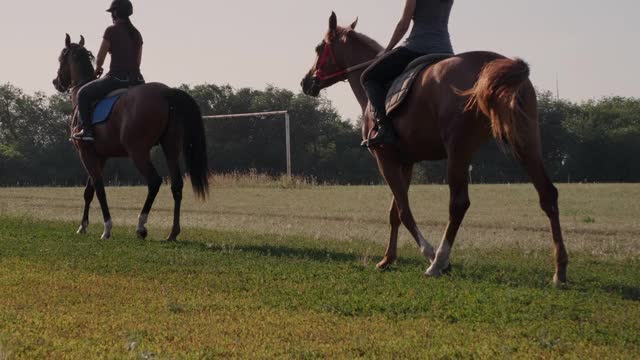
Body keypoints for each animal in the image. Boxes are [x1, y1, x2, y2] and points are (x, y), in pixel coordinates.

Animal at [53, 34, 210, 242]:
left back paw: (141, 226)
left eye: (61, 59)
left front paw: (106, 228)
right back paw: (173, 232)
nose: (56, 82)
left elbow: (99, 189)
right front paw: (82, 226)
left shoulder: (86, 154)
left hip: (138, 152)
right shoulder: (100, 156)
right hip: (171, 148)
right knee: (176, 185)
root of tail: (167, 92)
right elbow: (89, 191)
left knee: (154, 181)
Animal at [302, 13, 568, 284]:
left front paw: (429, 254)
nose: (306, 82)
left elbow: (405, 211)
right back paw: (560, 270)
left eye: (319, 48)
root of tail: (497, 62)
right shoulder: (405, 162)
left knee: (458, 204)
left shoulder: (384, 158)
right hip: (526, 141)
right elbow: (394, 213)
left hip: (459, 150)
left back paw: (438, 261)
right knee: (548, 195)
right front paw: (388, 259)